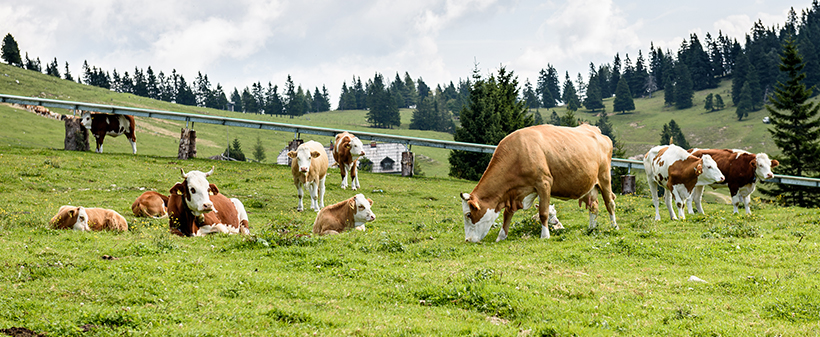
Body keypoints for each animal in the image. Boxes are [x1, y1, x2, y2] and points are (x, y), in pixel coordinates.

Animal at [458, 123, 620, 242]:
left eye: (468, 214)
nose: (467, 240)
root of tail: (594, 129)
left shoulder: (544, 183)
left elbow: (543, 212)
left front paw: (545, 235)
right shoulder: (514, 193)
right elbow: (507, 214)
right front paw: (501, 236)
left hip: (604, 177)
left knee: (610, 203)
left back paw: (614, 227)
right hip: (590, 185)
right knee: (594, 207)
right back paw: (591, 229)